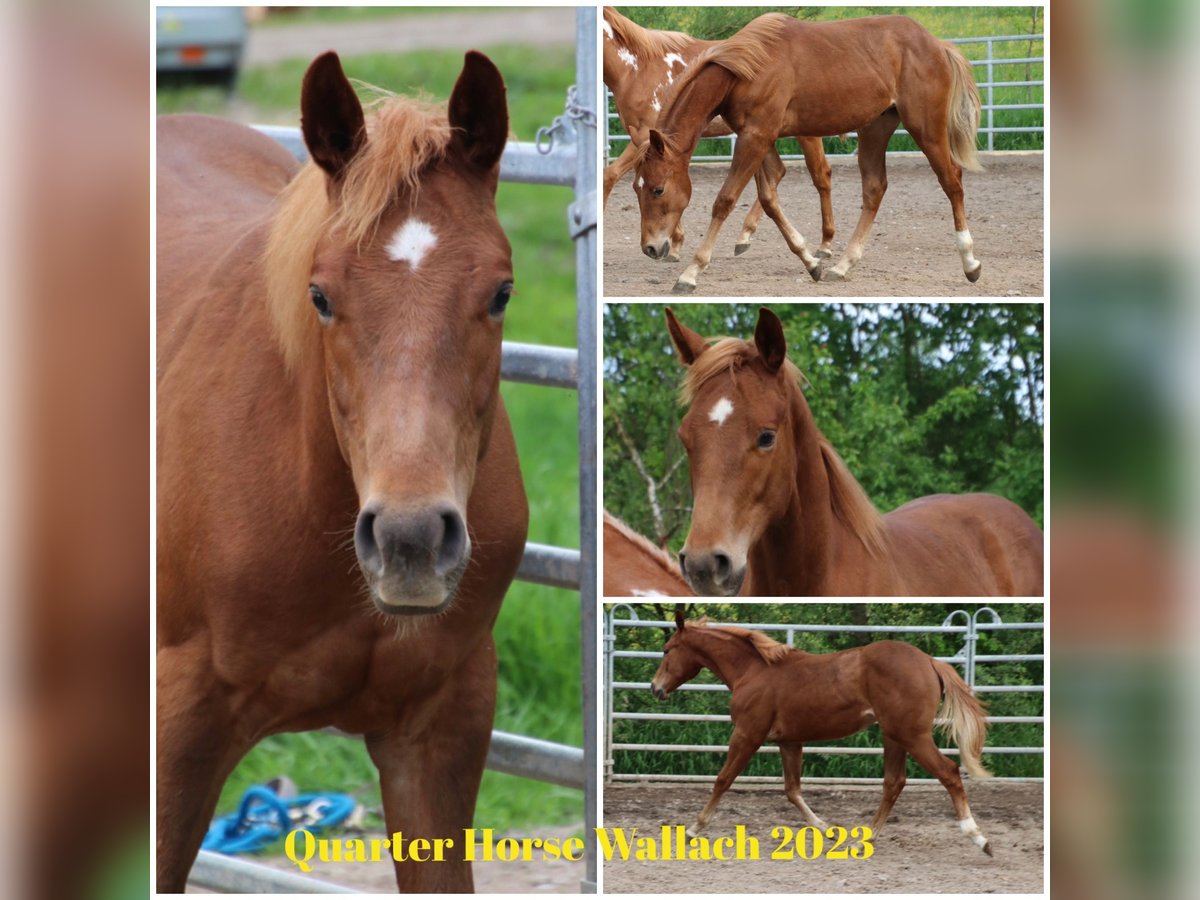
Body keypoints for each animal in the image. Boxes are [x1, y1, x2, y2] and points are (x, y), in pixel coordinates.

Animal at [600, 6, 835, 260]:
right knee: (778, 174)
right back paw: (745, 236)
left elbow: (610, 176)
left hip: (805, 133)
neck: (637, 69)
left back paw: (825, 244)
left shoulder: (646, 136)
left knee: (821, 175)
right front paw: (675, 242)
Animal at [628, 13, 984, 292]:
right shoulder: (757, 137)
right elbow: (769, 199)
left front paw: (691, 272)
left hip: (927, 129)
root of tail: (936, 44)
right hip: (875, 128)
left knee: (952, 181)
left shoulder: (755, 138)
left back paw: (970, 262)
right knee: (874, 188)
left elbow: (725, 201)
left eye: (658, 189)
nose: (650, 248)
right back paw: (843, 265)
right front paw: (811, 261)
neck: (749, 67)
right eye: (636, 187)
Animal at [652, 609, 998, 854]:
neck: (753, 672)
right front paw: (827, 829)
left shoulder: (747, 734)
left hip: (912, 735)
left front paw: (693, 829)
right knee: (894, 783)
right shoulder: (790, 742)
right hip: (894, 736)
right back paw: (863, 841)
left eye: (667, 649)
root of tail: (929, 661)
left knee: (948, 772)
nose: (655, 688)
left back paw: (979, 839)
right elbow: (792, 790)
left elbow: (723, 780)